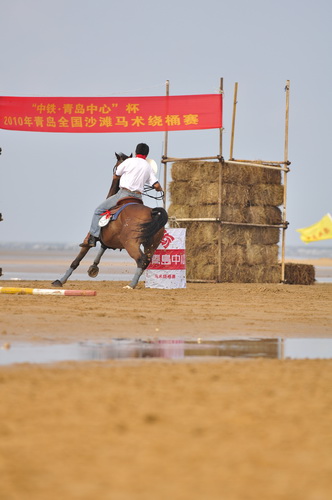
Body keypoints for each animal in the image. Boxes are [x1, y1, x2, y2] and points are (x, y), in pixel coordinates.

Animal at [52, 154, 169, 292]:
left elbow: (77, 260)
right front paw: (93, 268)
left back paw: (131, 285)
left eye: (115, 167)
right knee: (147, 261)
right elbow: (102, 249)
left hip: (131, 243)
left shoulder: (89, 239)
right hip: (151, 244)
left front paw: (60, 281)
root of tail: (152, 212)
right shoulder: (108, 240)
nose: (114, 173)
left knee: (141, 260)